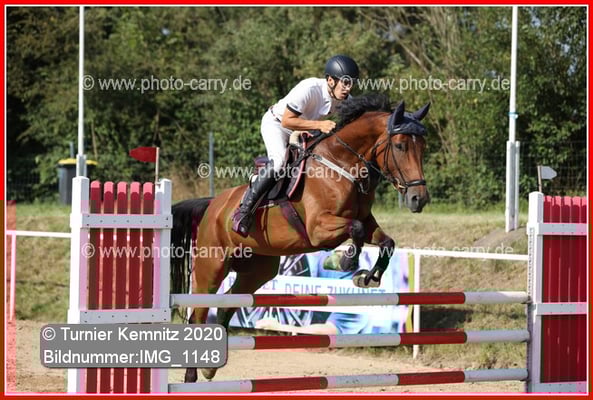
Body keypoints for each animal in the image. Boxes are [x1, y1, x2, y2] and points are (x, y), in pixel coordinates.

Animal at [170, 94, 430, 383]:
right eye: (400, 146)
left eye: (423, 147)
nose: (419, 199)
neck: (341, 165)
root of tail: (213, 205)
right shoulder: (319, 229)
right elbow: (355, 230)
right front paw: (346, 262)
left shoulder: (367, 221)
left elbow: (386, 242)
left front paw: (367, 277)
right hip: (212, 267)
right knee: (198, 313)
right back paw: (191, 375)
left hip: (257, 270)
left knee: (227, 305)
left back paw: (210, 368)